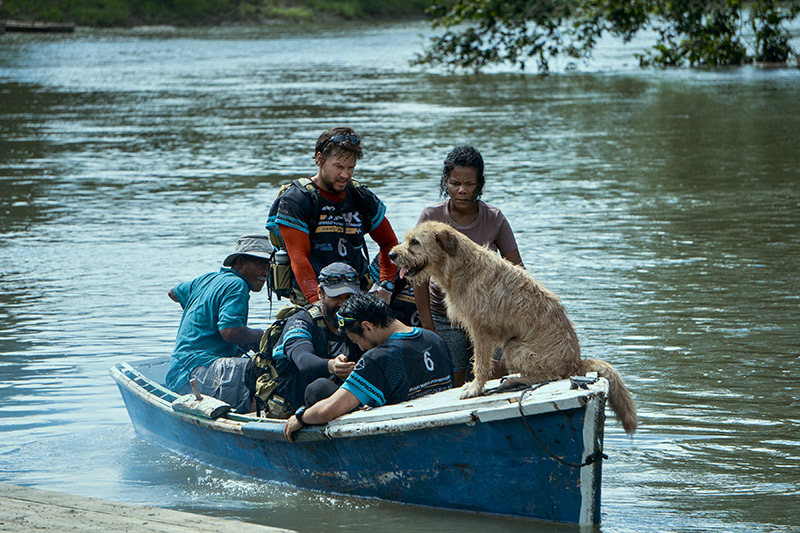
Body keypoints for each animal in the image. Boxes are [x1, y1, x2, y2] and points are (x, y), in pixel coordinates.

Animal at [390, 219, 636, 432]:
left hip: (514, 347)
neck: (461, 266)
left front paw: (475, 387)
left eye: (415, 242)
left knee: (549, 376)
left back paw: (515, 379)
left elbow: (480, 362)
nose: (391, 254)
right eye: (407, 239)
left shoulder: (481, 328)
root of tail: (577, 363)